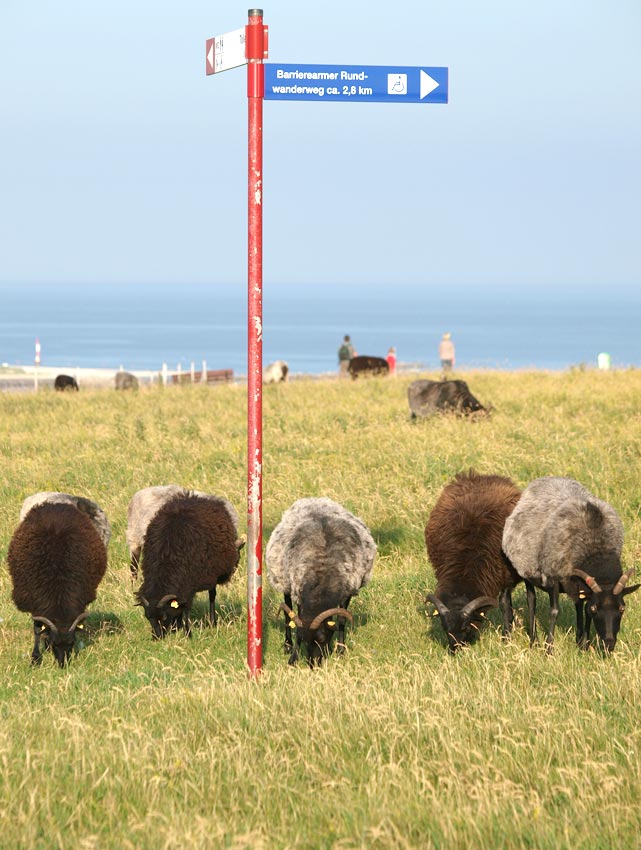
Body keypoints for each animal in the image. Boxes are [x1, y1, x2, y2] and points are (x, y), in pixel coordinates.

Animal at [7, 501, 108, 666]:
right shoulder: (35, 602)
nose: (63, 665)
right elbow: (37, 630)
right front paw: (36, 657)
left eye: (72, 643)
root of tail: (56, 504)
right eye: (55, 644)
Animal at [135, 491, 244, 638]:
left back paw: (212, 621)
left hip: (212, 573)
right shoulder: (181, 588)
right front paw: (177, 627)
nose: (157, 638)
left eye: (163, 617)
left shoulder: (188, 585)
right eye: (148, 617)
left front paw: (188, 633)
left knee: (212, 595)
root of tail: (194, 497)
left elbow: (185, 610)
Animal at [266, 497, 376, 666]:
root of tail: (314, 499)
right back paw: (287, 645)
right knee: (287, 613)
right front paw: (293, 658)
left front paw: (341, 650)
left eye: (323, 638)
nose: (314, 664)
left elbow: (342, 620)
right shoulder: (299, 593)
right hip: (284, 582)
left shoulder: (348, 590)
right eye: (303, 640)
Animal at [424, 470, 522, 652]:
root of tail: (478, 476)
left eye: (466, 627)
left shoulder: (505, 576)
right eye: (445, 629)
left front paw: (506, 639)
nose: (455, 650)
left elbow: (505, 605)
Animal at [502, 476, 640, 652]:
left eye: (622, 608)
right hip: (525, 570)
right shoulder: (553, 576)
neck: (596, 549)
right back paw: (532, 641)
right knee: (530, 600)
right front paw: (549, 648)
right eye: (595, 609)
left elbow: (583, 608)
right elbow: (554, 611)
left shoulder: (580, 584)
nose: (609, 643)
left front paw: (584, 644)